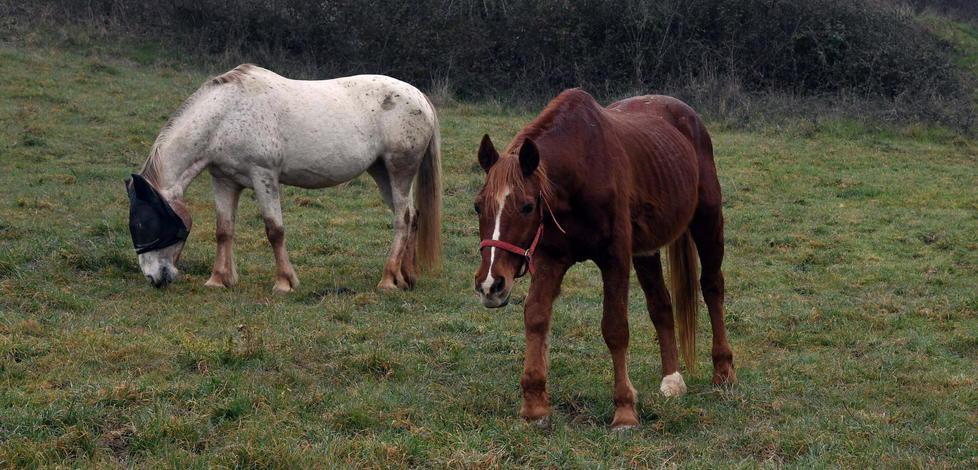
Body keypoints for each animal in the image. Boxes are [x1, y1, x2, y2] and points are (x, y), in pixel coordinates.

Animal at [125, 64, 442, 292]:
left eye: (144, 224)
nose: (154, 278)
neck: (226, 115)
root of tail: (419, 96)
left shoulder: (263, 176)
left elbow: (274, 230)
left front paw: (285, 282)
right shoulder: (224, 180)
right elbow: (224, 230)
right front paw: (219, 280)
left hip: (400, 170)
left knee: (402, 219)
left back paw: (388, 280)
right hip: (381, 172)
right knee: (412, 216)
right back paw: (405, 277)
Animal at [472, 89, 735, 429]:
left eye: (528, 206)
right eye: (478, 206)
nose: (490, 284)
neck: (580, 170)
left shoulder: (615, 258)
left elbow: (615, 328)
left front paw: (624, 410)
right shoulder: (550, 259)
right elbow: (536, 317)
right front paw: (534, 405)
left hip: (707, 221)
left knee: (712, 287)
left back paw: (724, 372)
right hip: (646, 250)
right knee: (661, 305)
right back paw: (672, 380)